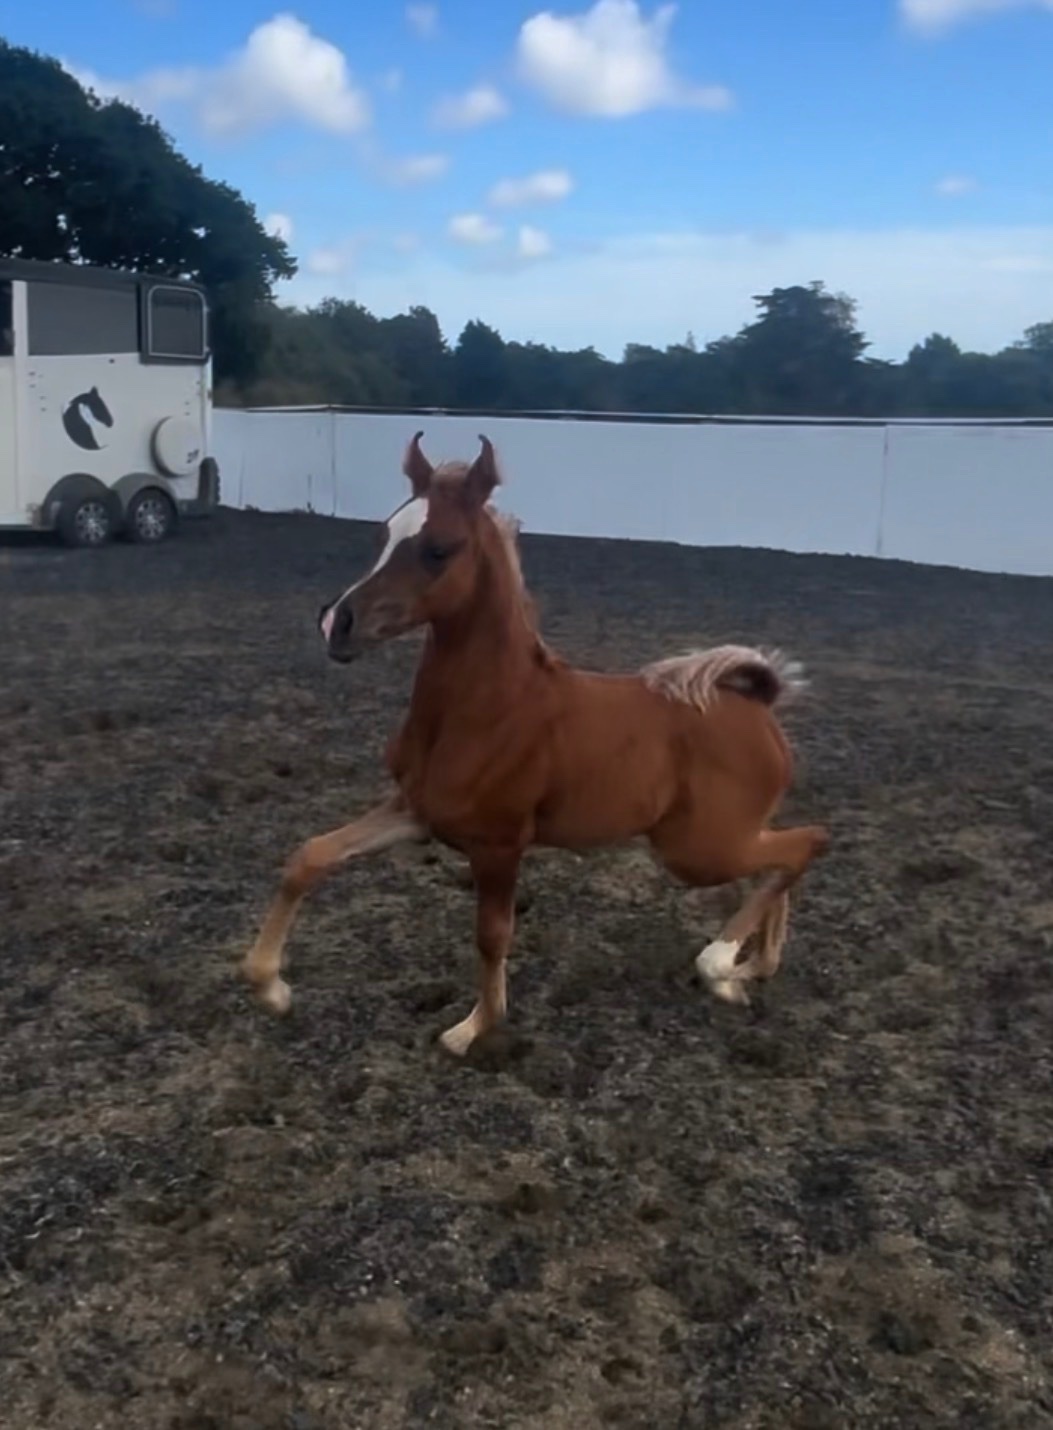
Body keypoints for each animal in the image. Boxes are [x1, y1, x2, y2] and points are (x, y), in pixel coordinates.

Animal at [241, 432, 829, 1056]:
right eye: (383, 536)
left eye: (438, 549)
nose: (337, 624)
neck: (489, 708)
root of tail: (760, 702)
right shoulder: (415, 812)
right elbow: (310, 857)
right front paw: (270, 987)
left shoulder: (499, 844)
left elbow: (492, 936)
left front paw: (474, 1028)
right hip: (716, 841)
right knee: (782, 858)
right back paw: (749, 971)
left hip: (698, 849)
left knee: (806, 843)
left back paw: (719, 963)